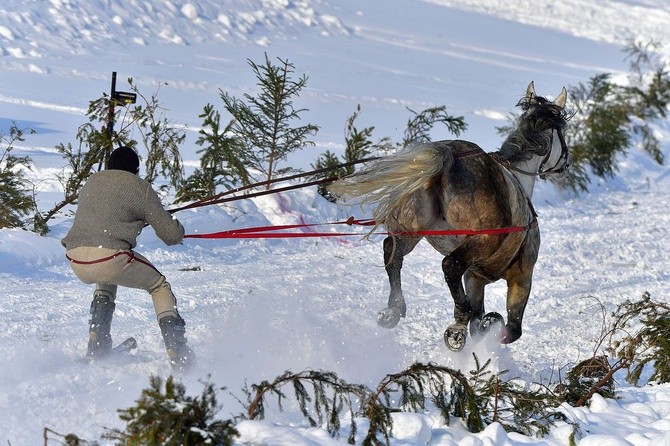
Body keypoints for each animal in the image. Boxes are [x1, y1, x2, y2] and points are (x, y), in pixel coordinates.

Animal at [330, 82, 572, 350]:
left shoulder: (475, 277)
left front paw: (474, 325)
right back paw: (458, 320)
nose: (566, 166)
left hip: (412, 230)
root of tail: (447, 159)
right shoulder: (521, 275)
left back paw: (394, 310)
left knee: (392, 253)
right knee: (450, 265)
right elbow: (511, 329)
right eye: (564, 132)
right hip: (481, 240)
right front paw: (487, 323)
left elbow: (479, 317)